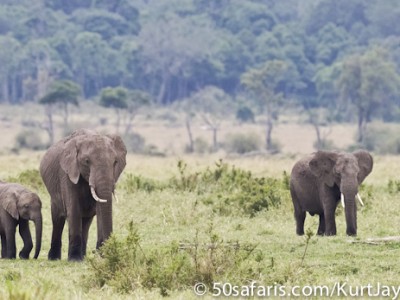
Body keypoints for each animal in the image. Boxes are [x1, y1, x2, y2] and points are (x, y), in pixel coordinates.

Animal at [39, 128, 126, 260]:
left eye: (115, 162)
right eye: (87, 161)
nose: (108, 253)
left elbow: (100, 211)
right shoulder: (67, 173)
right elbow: (74, 210)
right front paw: (74, 260)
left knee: (86, 222)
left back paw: (83, 257)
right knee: (58, 219)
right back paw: (54, 258)